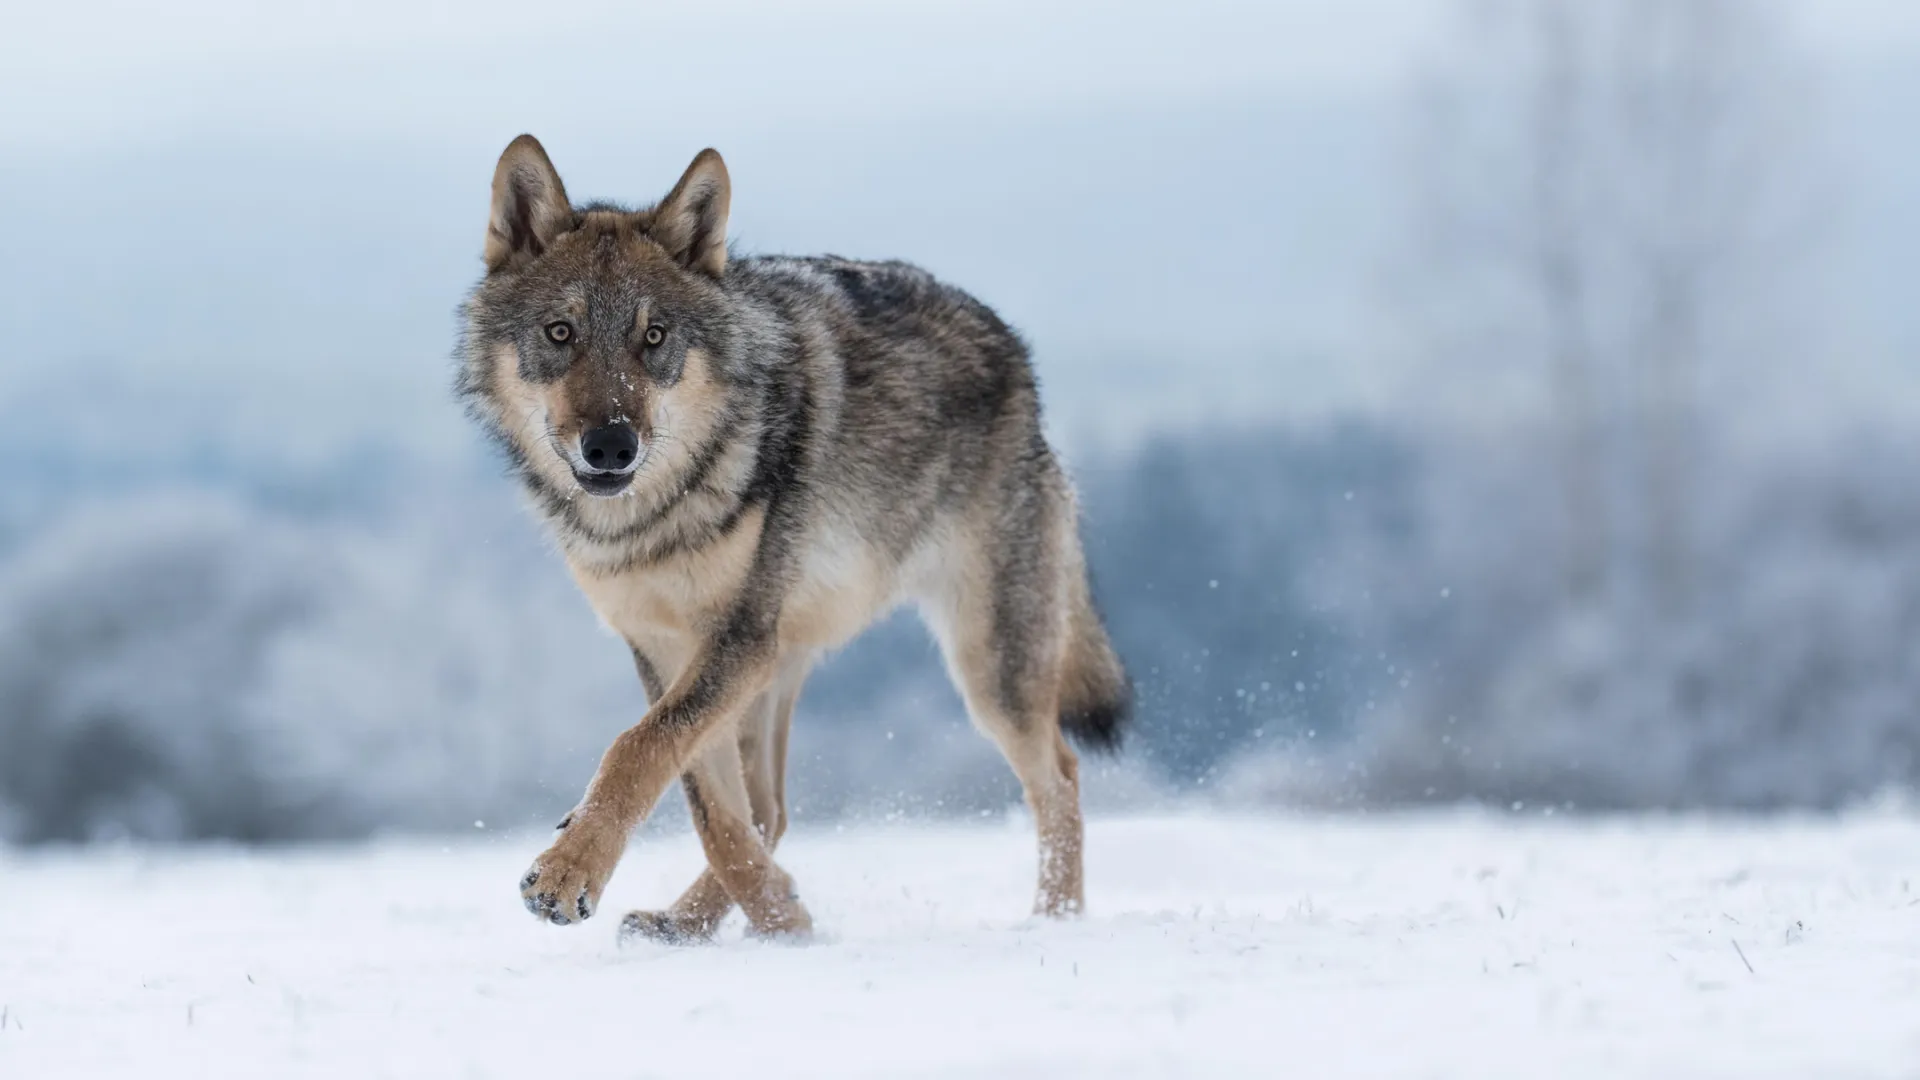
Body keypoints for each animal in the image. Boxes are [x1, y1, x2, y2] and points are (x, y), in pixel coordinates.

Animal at [456, 134, 1128, 937]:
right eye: (561, 333)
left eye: (654, 338)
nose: (611, 447)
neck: (655, 519)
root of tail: (1016, 353)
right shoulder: (665, 646)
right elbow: (707, 805)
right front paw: (781, 917)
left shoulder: (738, 637)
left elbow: (638, 750)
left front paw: (566, 875)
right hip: (786, 662)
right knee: (770, 811)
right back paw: (694, 922)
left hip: (987, 664)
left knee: (1059, 776)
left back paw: (1055, 921)